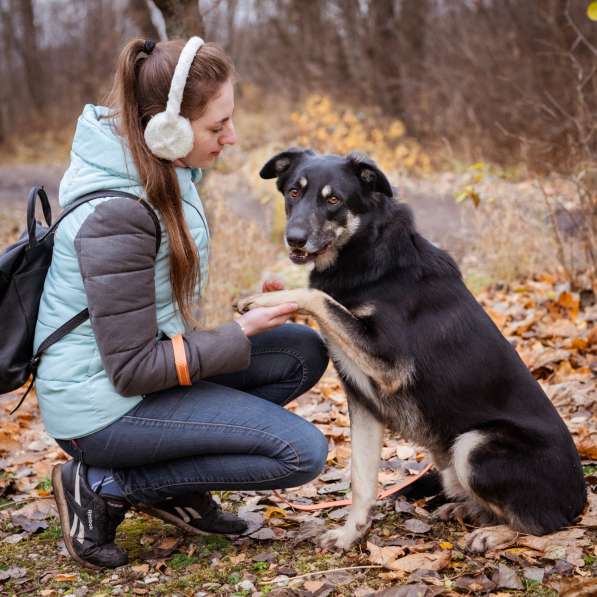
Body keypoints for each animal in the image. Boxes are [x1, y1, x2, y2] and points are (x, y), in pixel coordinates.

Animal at [235, 148, 584, 548]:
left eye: (333, 200)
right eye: (294, 192)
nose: (294, 239)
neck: (365, 250)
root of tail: (580, 499)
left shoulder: (388, 363)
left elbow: (316, 295)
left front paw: (261, 301)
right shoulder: (362, 399)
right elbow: (362, 478)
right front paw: (350, 534)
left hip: (474, 445)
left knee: (541, 522)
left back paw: (494, 534)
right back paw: (464, 510)